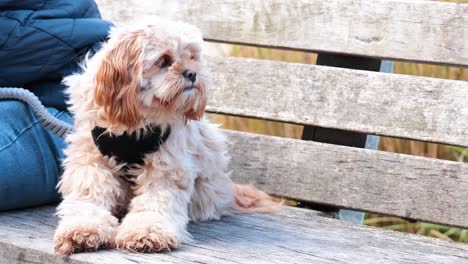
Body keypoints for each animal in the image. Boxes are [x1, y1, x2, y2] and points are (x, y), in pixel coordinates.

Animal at [54, 20, 278, 256]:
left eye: (192, 58)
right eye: (164, 60)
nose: (192, 73)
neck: (136, 125)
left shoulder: (165, 166)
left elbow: (154, 203)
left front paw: (147, 232)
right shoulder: (91, 162)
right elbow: (88, 198)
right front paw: (82, 229)